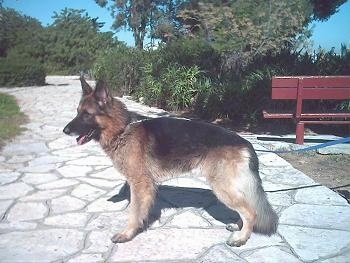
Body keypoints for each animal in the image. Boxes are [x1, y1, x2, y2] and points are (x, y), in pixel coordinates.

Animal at [62, 77, 276, 248]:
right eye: (77, 112)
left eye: (86, 114)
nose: (65, 130)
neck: (122, 129)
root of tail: (246, 142)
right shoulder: (144, 186)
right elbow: (141, 210)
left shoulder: (139, 184)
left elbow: (133, 212)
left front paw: (127, 234)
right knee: (247, 208)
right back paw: (238, 227)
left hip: (223, 188)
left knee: (251, 212)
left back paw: (241, 238)